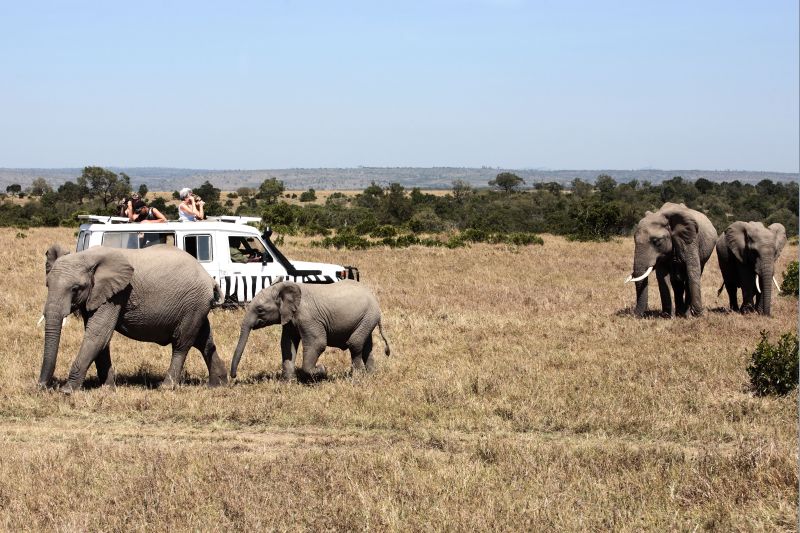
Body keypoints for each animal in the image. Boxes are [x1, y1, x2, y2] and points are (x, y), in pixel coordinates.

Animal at [41, 244, 228, 390]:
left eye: (75, 289)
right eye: (47, 285)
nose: (43, 387)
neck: (87, 256)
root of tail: (210, 280)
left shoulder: (117, 294)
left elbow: (98, 334)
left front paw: (68, 391)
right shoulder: (97, 295)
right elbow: (101, 338)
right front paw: (108, 389)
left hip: (193, 303)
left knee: (182, 343)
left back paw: (166, 387)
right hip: (196, 306)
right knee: (204, 341)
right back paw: (218, 385)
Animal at [230, 280, 392, 380]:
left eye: (260, 310)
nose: (234, 376)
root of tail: (374, 298)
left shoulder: (308, 318)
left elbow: (317, 343)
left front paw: (322, 370)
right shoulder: (290, 318)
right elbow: (287, 344)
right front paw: (289, 382)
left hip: (368, 316)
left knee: (355, 343)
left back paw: (356, 378)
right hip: (366, 319)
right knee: (367, 346)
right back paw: (370, 376)